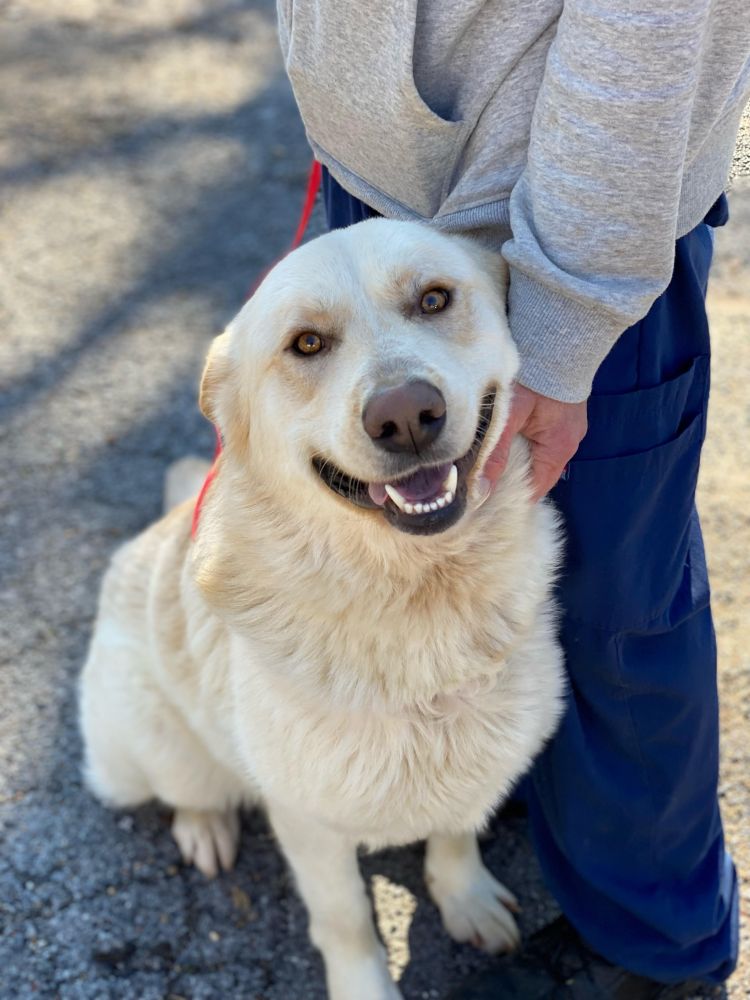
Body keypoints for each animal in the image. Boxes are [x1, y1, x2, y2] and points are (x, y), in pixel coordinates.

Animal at [82, 221, 564, 1000]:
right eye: (306, 343)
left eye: (435, 299)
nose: (405, 416)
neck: (418, 596)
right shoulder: (308, 824)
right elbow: (346, 921)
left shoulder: (478, 755)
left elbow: (455, 834)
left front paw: (465, 898)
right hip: (145, 743)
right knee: (185, 786)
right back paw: (204, 826)